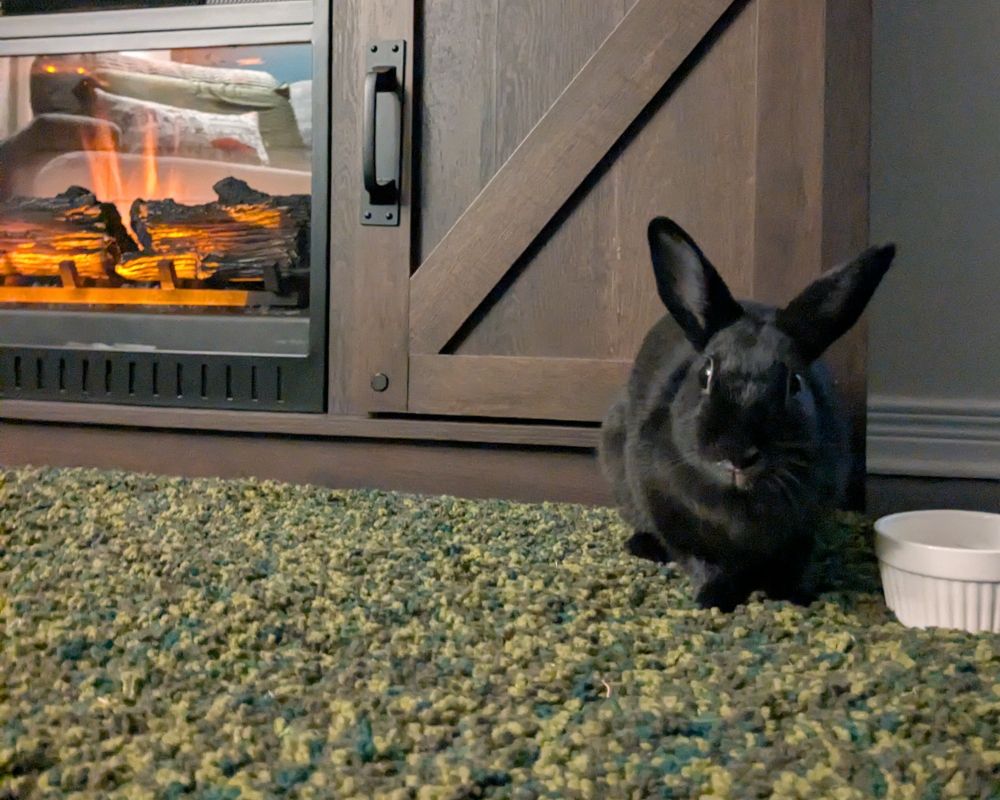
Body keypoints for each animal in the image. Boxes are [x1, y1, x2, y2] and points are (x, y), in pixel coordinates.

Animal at [600, 217, 896, 612]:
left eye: (794, 383)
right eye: (705, 374)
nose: (737, 453)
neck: (741, 502)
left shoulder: (803, 533)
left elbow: (794, 564)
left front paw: (793, 597)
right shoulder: (670, 514)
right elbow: (702, 561)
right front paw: (714, 600)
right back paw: (642, 547)